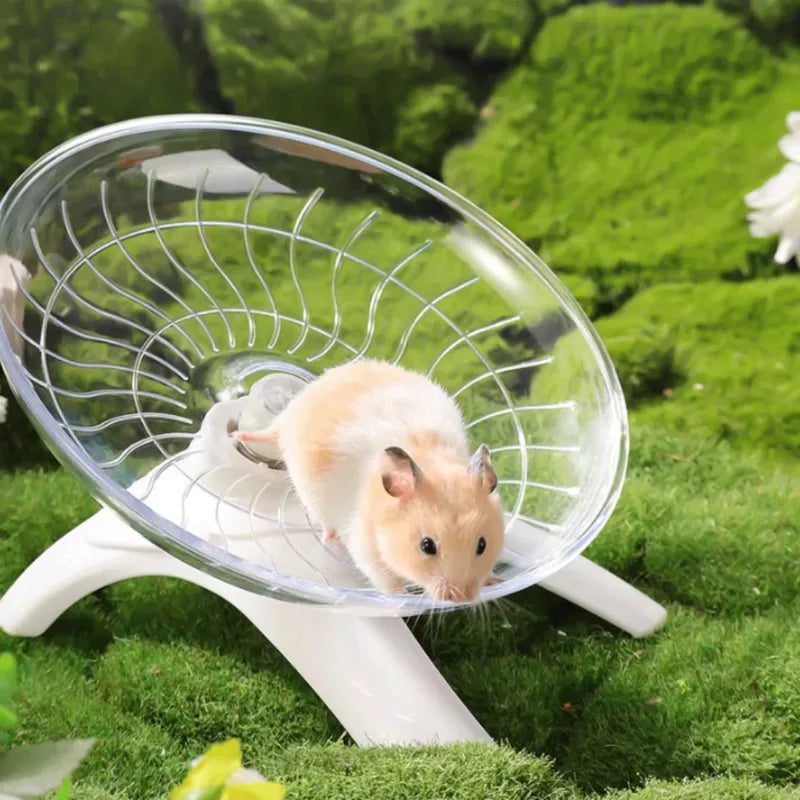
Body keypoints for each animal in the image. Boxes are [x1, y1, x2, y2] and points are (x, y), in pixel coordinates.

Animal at [234, 359, 504, 602]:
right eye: (427, 546)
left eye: (482, 545)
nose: (462, 598)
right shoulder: (364, 545)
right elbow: (385, 579)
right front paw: (401, 596)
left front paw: (495, 579)